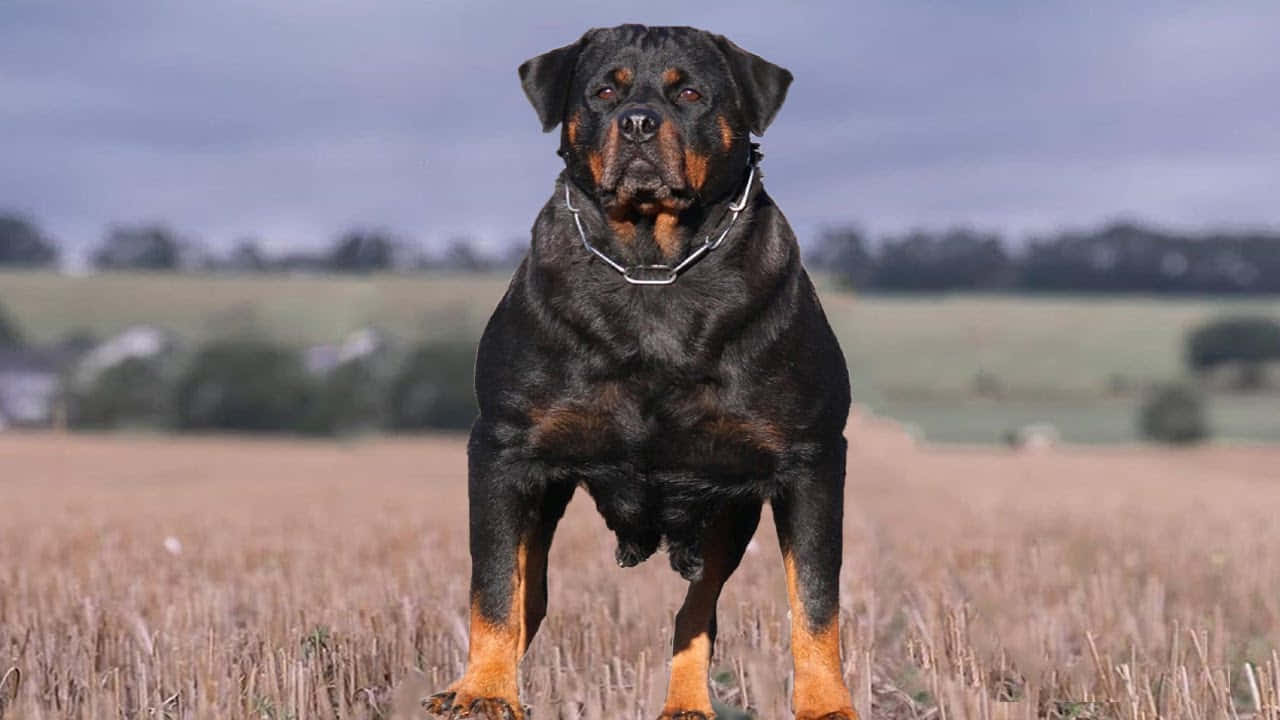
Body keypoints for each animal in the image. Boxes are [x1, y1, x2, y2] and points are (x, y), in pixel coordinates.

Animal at [424, 22, 855, 717]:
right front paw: (483, 692)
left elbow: (815, 601)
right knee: (529, 595)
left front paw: (826, 705)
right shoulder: (504, 449)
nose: (638, 123)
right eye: (605, 91)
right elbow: (493, 587)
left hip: (728, 512)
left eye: (690, 93)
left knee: (696, 610)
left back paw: (687, 703)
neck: (653, 266)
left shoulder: (809, 458)